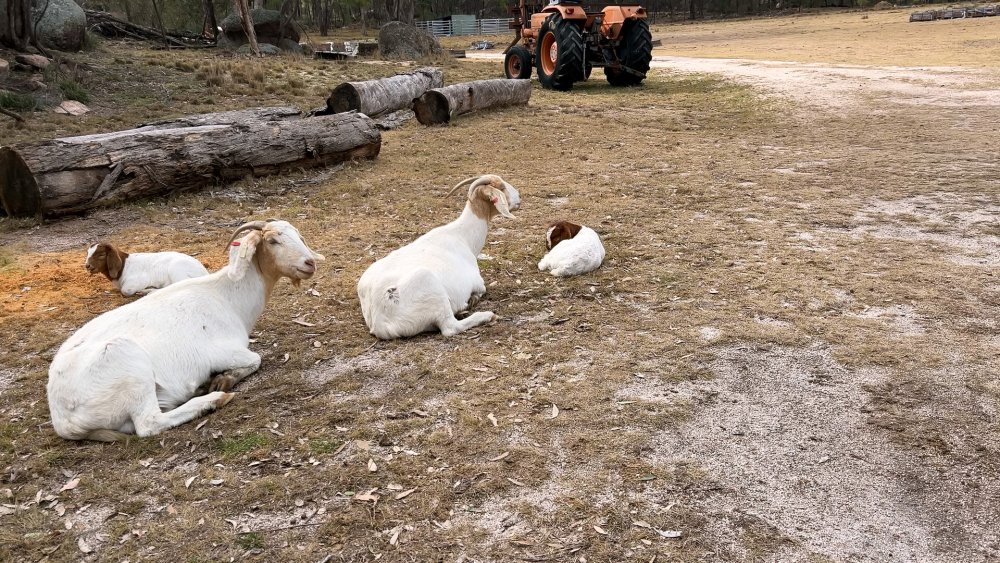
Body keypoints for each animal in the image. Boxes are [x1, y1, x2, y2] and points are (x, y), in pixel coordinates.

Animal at [47, 220, 324, 441]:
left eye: (299, 236)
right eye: (272, 240)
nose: (309, 263)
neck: (228, 297)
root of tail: (63, 419)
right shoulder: (222, 350)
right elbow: (256, 359)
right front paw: (223, 379)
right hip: (126, 363)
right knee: (149, 424)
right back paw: (212, 399)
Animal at [357, 174, 520, 339]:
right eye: (501, 187)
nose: (519, 197)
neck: (463, 236)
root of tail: (379, 323)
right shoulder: (476, 281)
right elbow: (482, 289)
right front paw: (473, 299)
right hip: (430, 287)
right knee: (450, 327)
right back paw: (484, 315)